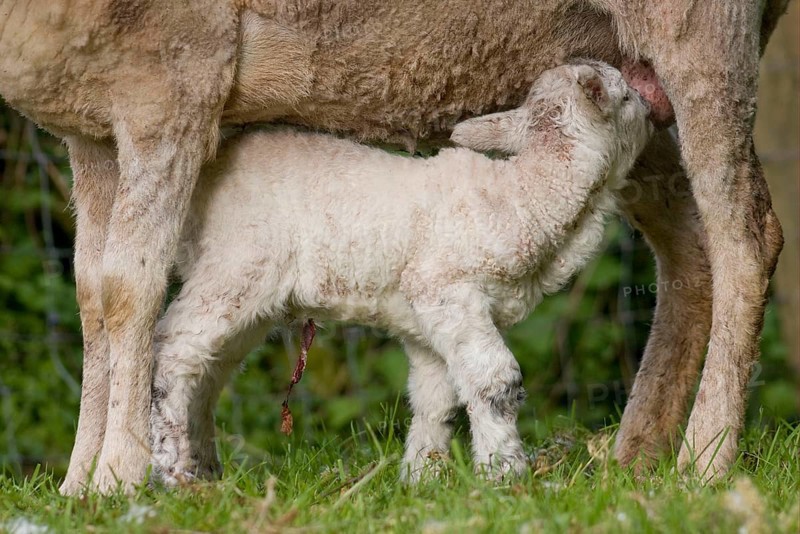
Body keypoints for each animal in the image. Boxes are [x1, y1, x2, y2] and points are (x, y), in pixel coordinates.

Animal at [149, 61, 654, 484]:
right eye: (627, 95)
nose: (653, 109)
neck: (520, 197)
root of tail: (208, 167)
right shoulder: (447, 291)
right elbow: (495, 381)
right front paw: (504, 473)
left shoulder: (425, 323)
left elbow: (436, 399)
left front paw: (420, 478)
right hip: (234, 267)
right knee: (173, 351)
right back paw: (171, 472)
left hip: (250, 296)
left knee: (208, 373)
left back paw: (207, 472)